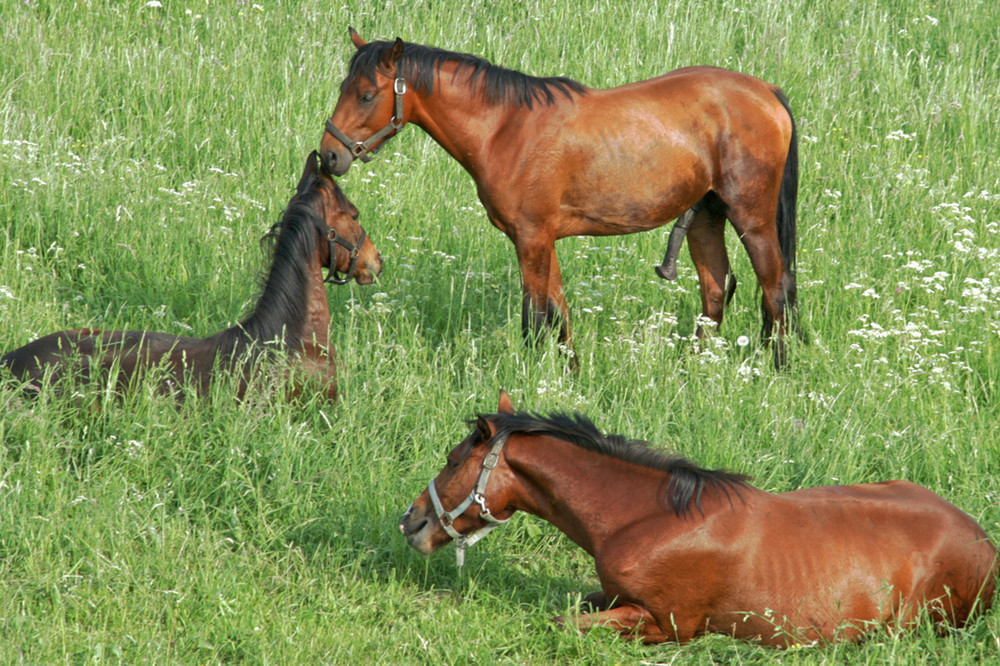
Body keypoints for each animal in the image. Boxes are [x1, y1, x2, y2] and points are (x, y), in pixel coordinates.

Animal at [324, 28, 800, 366]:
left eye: (366, 95)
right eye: (344, 88)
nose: (330, 155)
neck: (505, 128)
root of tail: (766, 92)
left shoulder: (531, 239)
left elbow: (535, 317)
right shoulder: (541, 240)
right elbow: (559, 313)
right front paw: (569, 376)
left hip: (751, 217)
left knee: (775, 289)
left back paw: (775, 369)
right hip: (705, 217)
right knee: (716, 290)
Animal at [402, 390, 996, 644]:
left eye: (453, 460)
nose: (412, 523)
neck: (645, 518)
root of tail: (983, 541)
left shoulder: (666, 622)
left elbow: (564, 622)